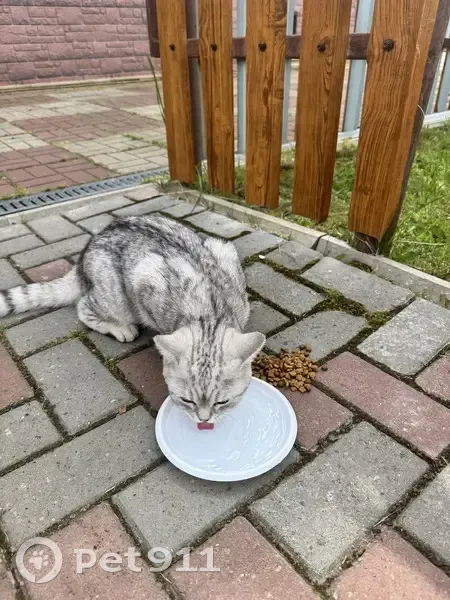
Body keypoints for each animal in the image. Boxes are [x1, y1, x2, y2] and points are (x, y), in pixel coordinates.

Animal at [0, 215, 265, 423]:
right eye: (186, 400)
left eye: (222, 402)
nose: (204, 420)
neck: (210, 312)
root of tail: (83, 255)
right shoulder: (145, 277)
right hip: (115, 297)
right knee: (84, 307)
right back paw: (121, 328)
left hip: (217, 244)